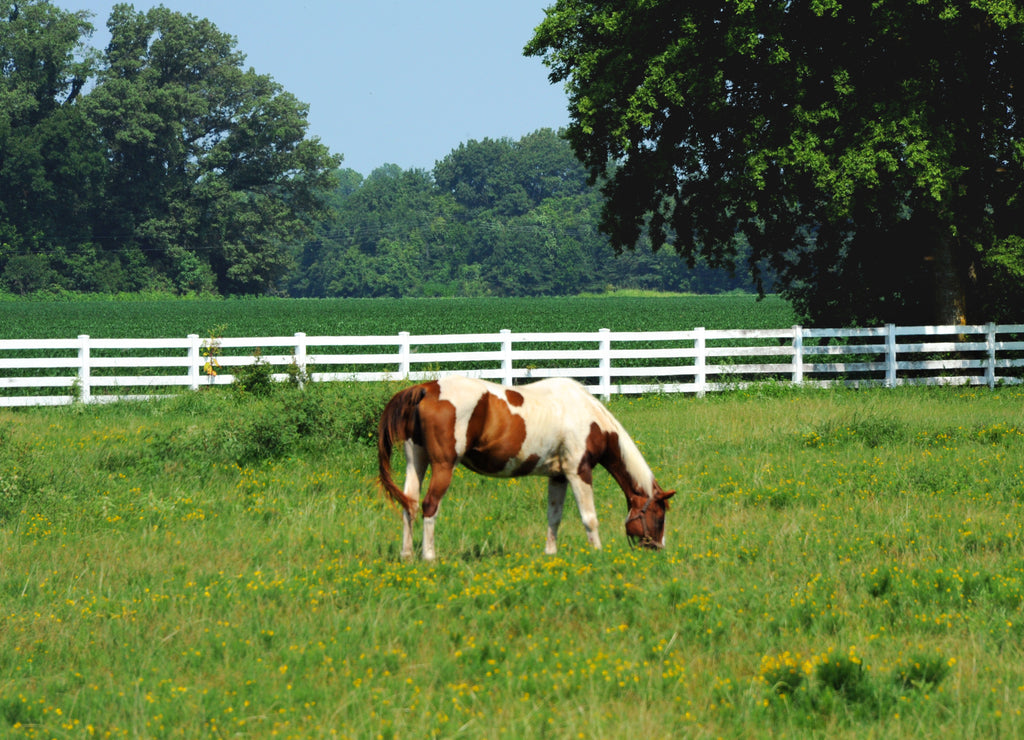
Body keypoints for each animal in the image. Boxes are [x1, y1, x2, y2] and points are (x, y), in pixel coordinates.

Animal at [377, 375, 674, 560]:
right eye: (659, 517)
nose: (658, 549)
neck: (587, 415)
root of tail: (426, 389)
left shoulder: (558, 476)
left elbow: (554, 517)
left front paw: (550, 554)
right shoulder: (579, 472)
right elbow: (589, 518)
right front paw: (598, 554)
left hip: (416, 462)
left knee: (409, 504)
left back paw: (407, 555)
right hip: (442, 466)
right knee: (429, 505)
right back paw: (429, 556)